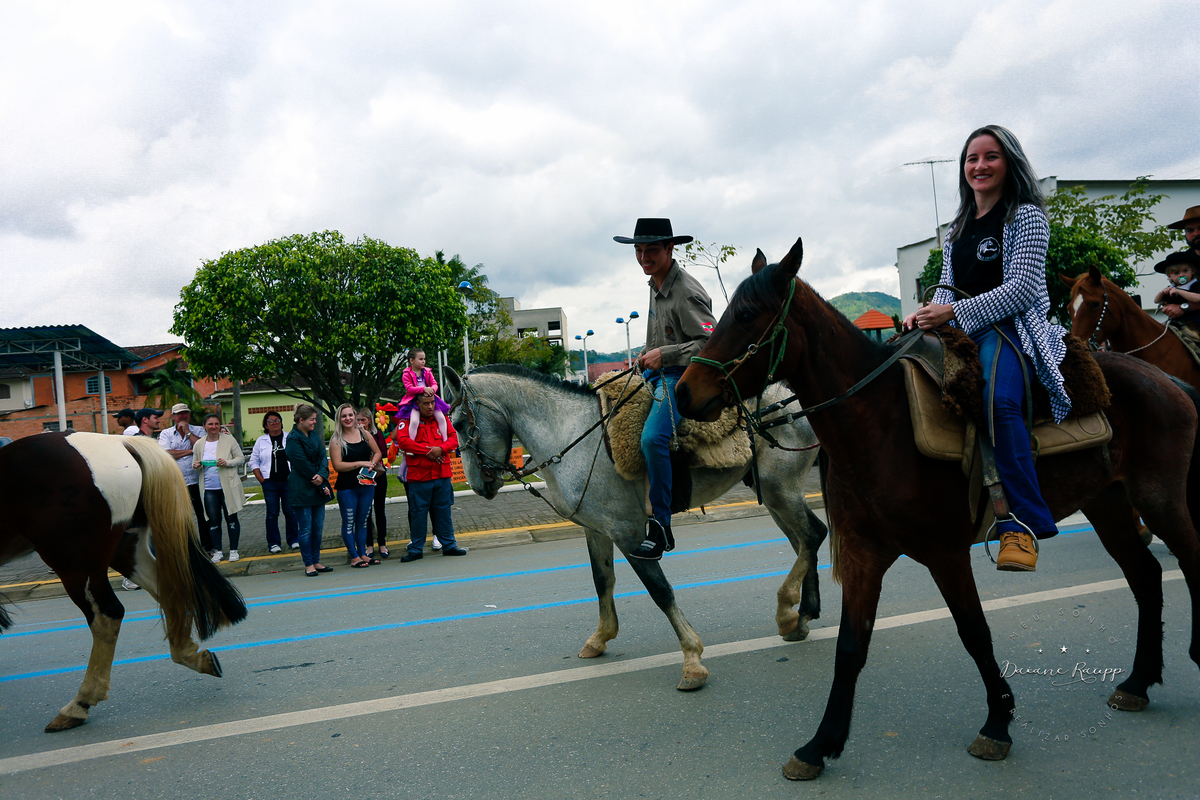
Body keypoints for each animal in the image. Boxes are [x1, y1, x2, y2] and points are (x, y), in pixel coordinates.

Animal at [0, 432, 248, 732]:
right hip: (126, 548)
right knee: (168, 590)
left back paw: (80, 703)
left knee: (107, 614)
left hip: (75, 563)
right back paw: (188, 653)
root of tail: (121, 442)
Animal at [441, 364, 827, 691]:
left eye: (458, 423)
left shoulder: (629, 534)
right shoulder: (597, 529)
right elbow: (602, 581)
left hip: (779, 489)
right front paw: (600, 637)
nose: (477, 485)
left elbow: (660, 591)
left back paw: (788, 609)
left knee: (813, 535)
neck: (572, 435)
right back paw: (802, 615)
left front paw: (692, 659)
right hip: (774, 494)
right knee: (803, 543)